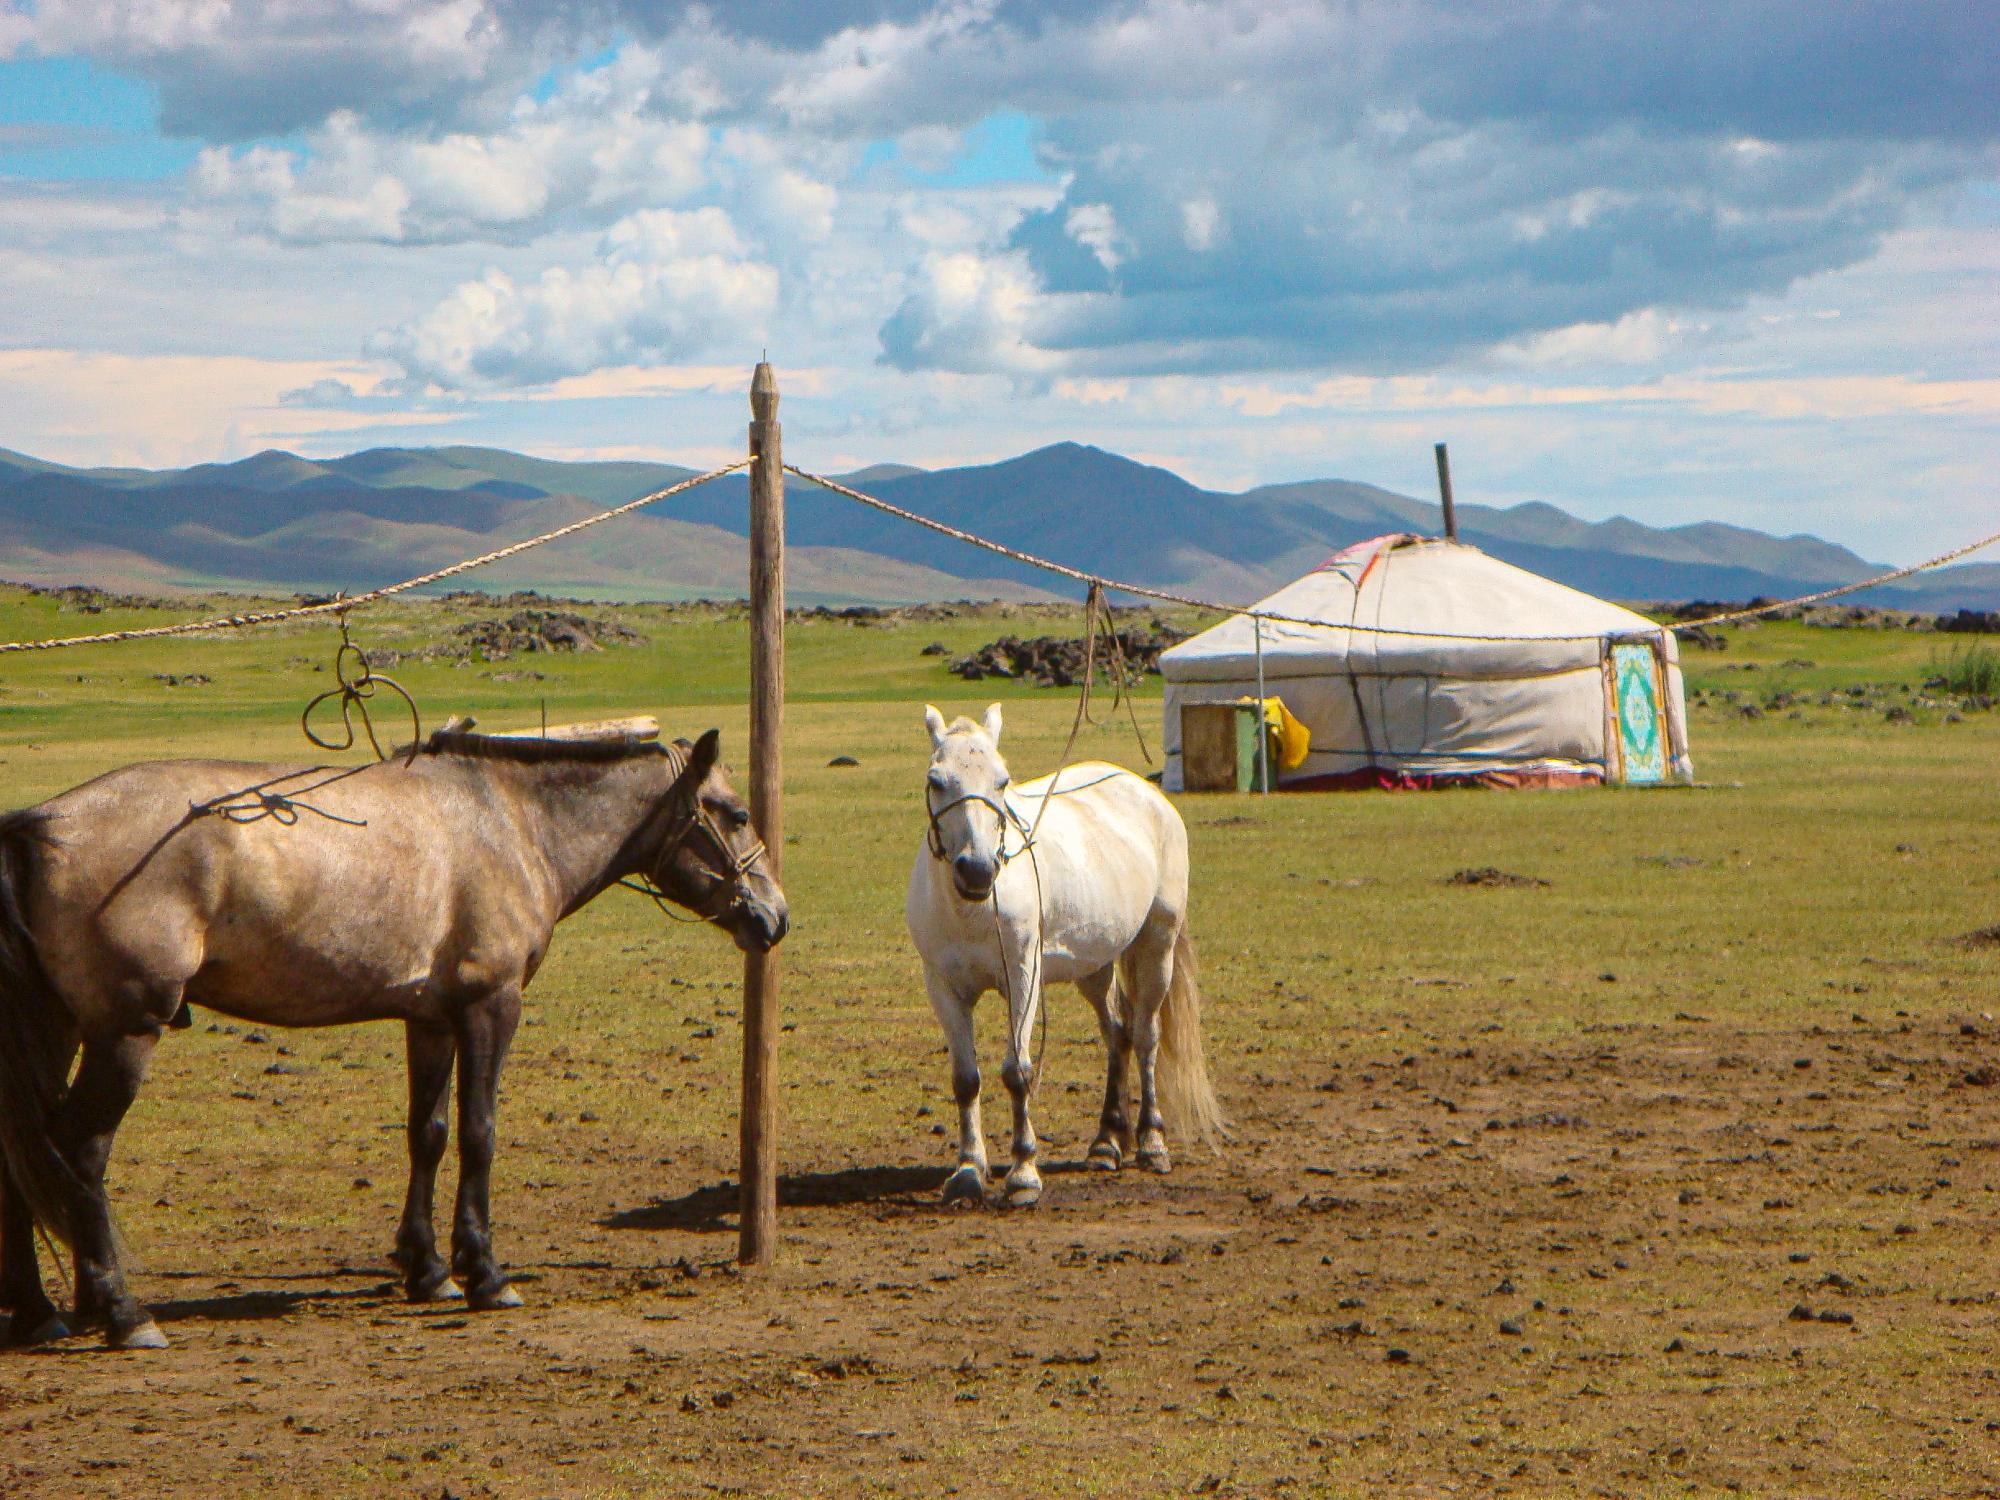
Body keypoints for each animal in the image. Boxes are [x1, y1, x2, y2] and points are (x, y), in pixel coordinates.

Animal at [0, 724, 784, 1352]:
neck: (511, 822)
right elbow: (478, 1133)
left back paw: (42, 1313)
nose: (775, 917)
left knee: (25, 1154)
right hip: (125, 1034)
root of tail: (40, 823)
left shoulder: (431, 1019)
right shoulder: (491, 1006)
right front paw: (485, 1273)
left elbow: (427, 1134)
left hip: (59, 1029)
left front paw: (429, 1269)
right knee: (81, 1151)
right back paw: (122, 1312)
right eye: (738, 813)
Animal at [904, 704, 1216, 1208]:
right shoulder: (944, 987)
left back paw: (1151, 1142)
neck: (971, 910)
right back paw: (1107, 1142)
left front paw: (1023, 1173)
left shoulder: (1023, 979)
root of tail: (1146, 792)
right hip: (1095, 965)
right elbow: (966, 1079)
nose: (977, 870)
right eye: (936, 780)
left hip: (1157, 947)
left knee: (1145, 1036)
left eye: (1002, 781)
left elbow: (1017, 1071)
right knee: (1117, 1032)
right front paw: (969, 1171)